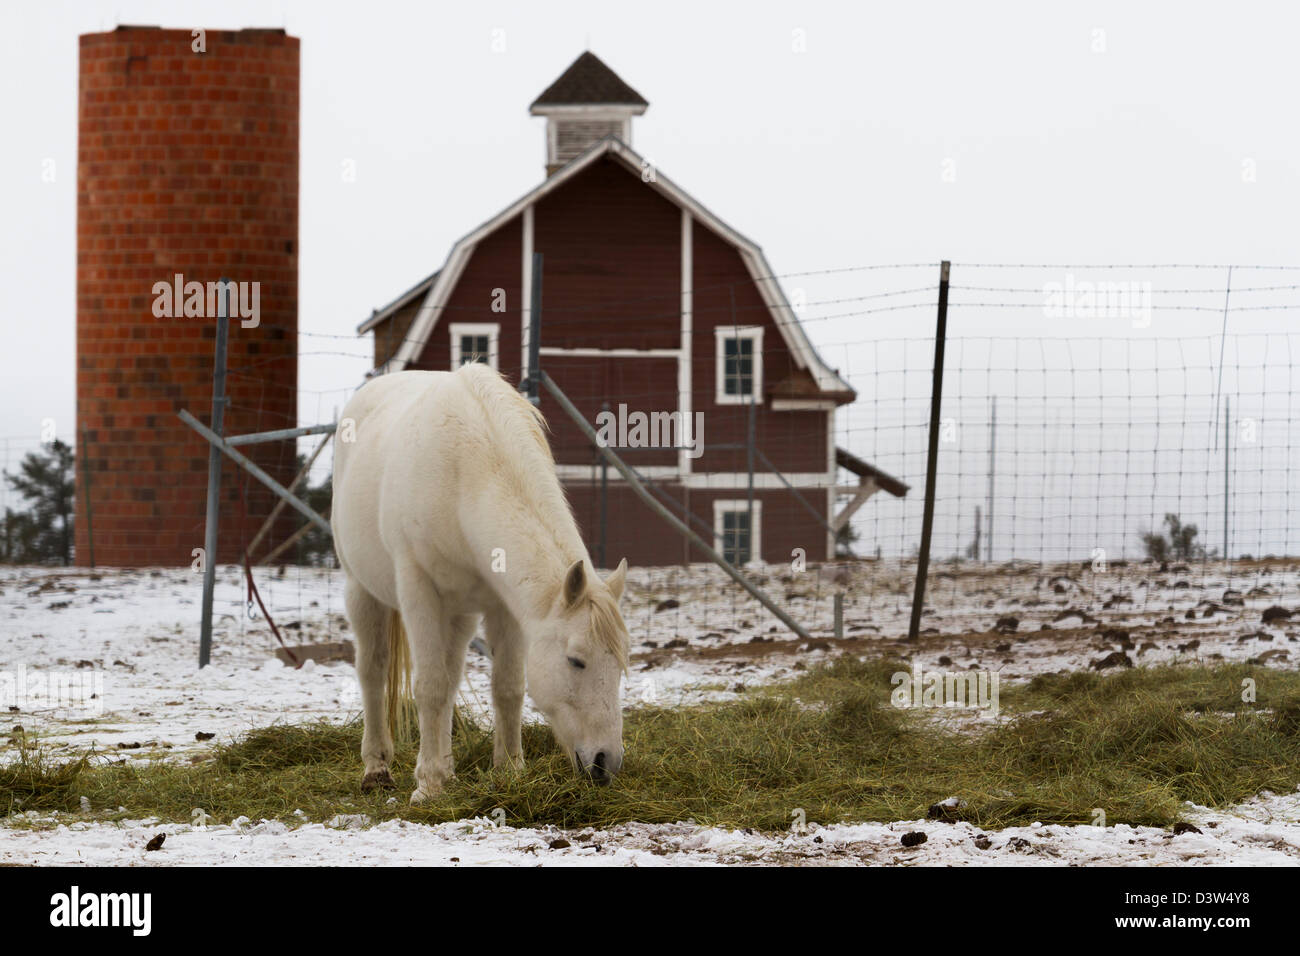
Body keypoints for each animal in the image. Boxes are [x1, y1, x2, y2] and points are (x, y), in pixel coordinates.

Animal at [331, 363, 630, 803]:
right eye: (576, 660)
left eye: (622, 661)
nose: (605, 763)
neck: (465, 473)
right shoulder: (419, 592)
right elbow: (429, 686)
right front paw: (428, 786)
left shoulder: (502, 606)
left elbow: (507, 686)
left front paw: (510, 772)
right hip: (362, 590)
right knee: (373, 670)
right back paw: (377, 768)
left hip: (460, 613)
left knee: (451, 675)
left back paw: (447, 770)